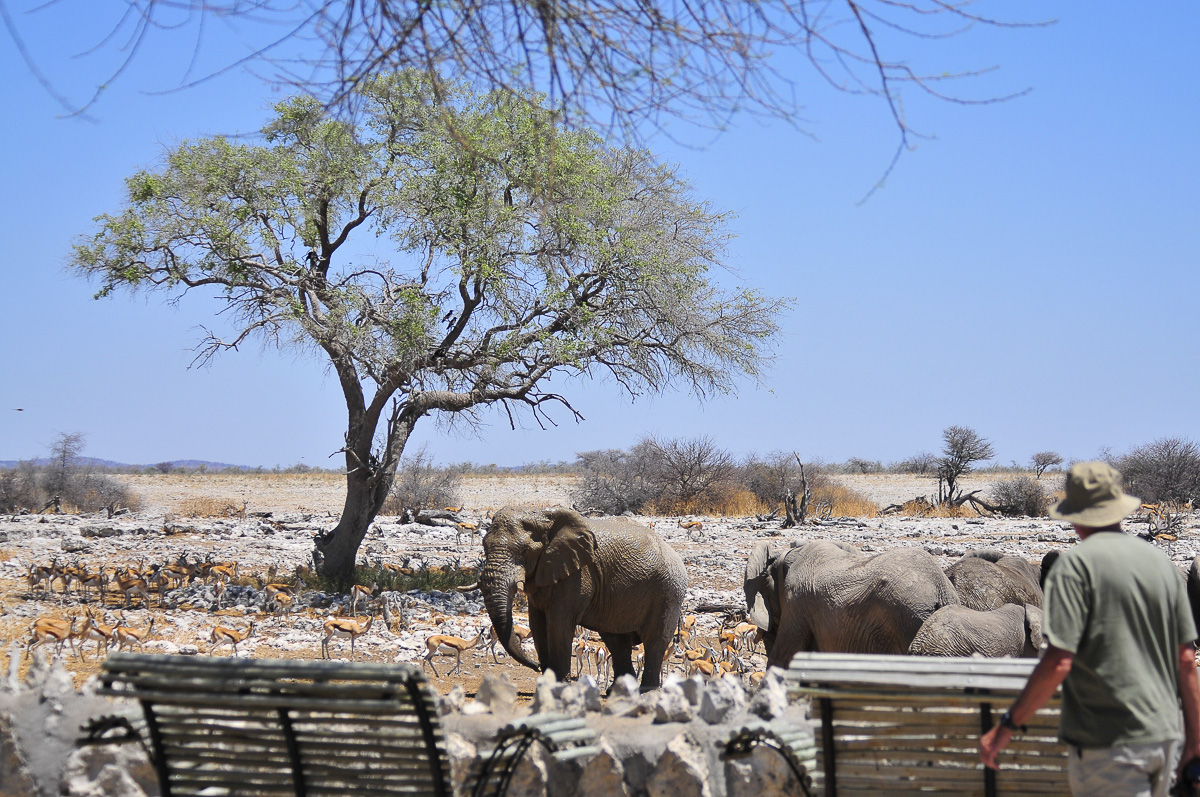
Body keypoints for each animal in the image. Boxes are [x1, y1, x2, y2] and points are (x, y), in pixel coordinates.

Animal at [480, 506, 687, 692]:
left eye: (524, 550)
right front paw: (547, 684)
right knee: (617, 642)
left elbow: (559, 623)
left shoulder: (577, 576)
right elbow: (538, 624)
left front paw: (559, 685)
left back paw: (646, 691)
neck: (541, 515)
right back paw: (618, 690)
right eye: (484, 546)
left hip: (668, 592)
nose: (536, 666)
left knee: (655, 641)